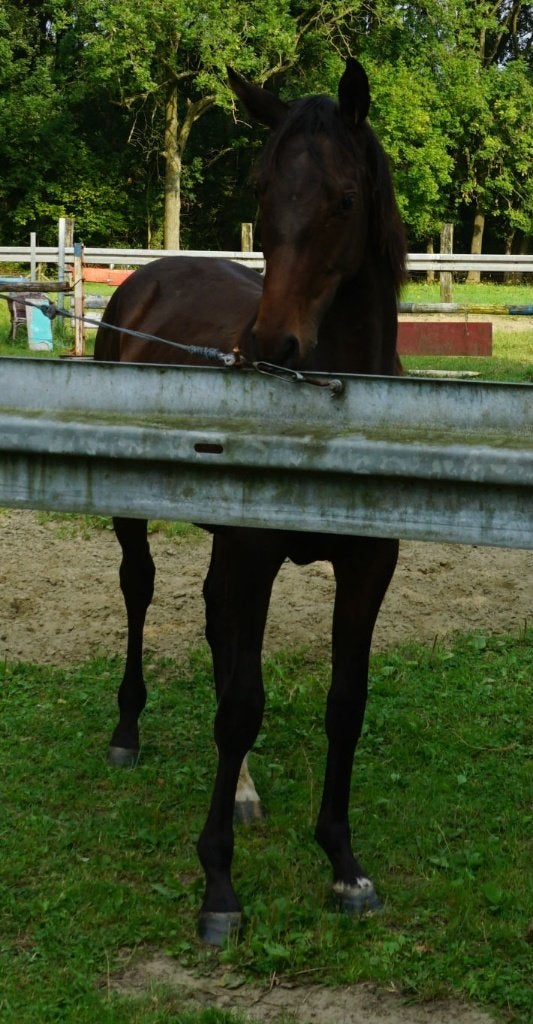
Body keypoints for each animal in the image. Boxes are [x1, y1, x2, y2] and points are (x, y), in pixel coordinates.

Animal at [94, 57, 406, 945]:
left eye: (344, 198)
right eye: (260, 188)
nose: (272, 345)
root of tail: (146, 278)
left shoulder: (367, 567)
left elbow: (345, 702)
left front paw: (343, 865)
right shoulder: (256, 554)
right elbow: (240, 706)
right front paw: (219, 887)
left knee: (211, 619)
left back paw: (240, 791)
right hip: (143, 521)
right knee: (141, 592)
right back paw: (127, 732)